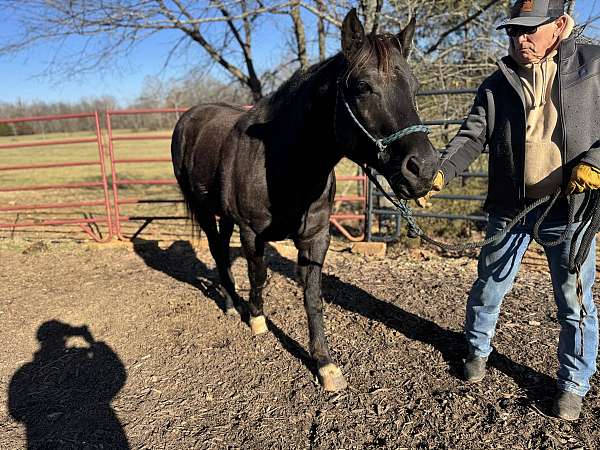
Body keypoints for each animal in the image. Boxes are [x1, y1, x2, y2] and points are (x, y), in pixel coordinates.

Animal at [171, 8, 438, 392]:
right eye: (362, 86)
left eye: (414, 88)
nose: (424, 169)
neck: (286, 165)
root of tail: (189, 117)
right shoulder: (252, 233)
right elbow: (258, 275)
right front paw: (257, 320)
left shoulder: (316, 237)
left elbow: (312, 297)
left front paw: (324, 363)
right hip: (205, 211)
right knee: (217, 250)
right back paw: (232, 304)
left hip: (224, 215)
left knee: (221, 248)